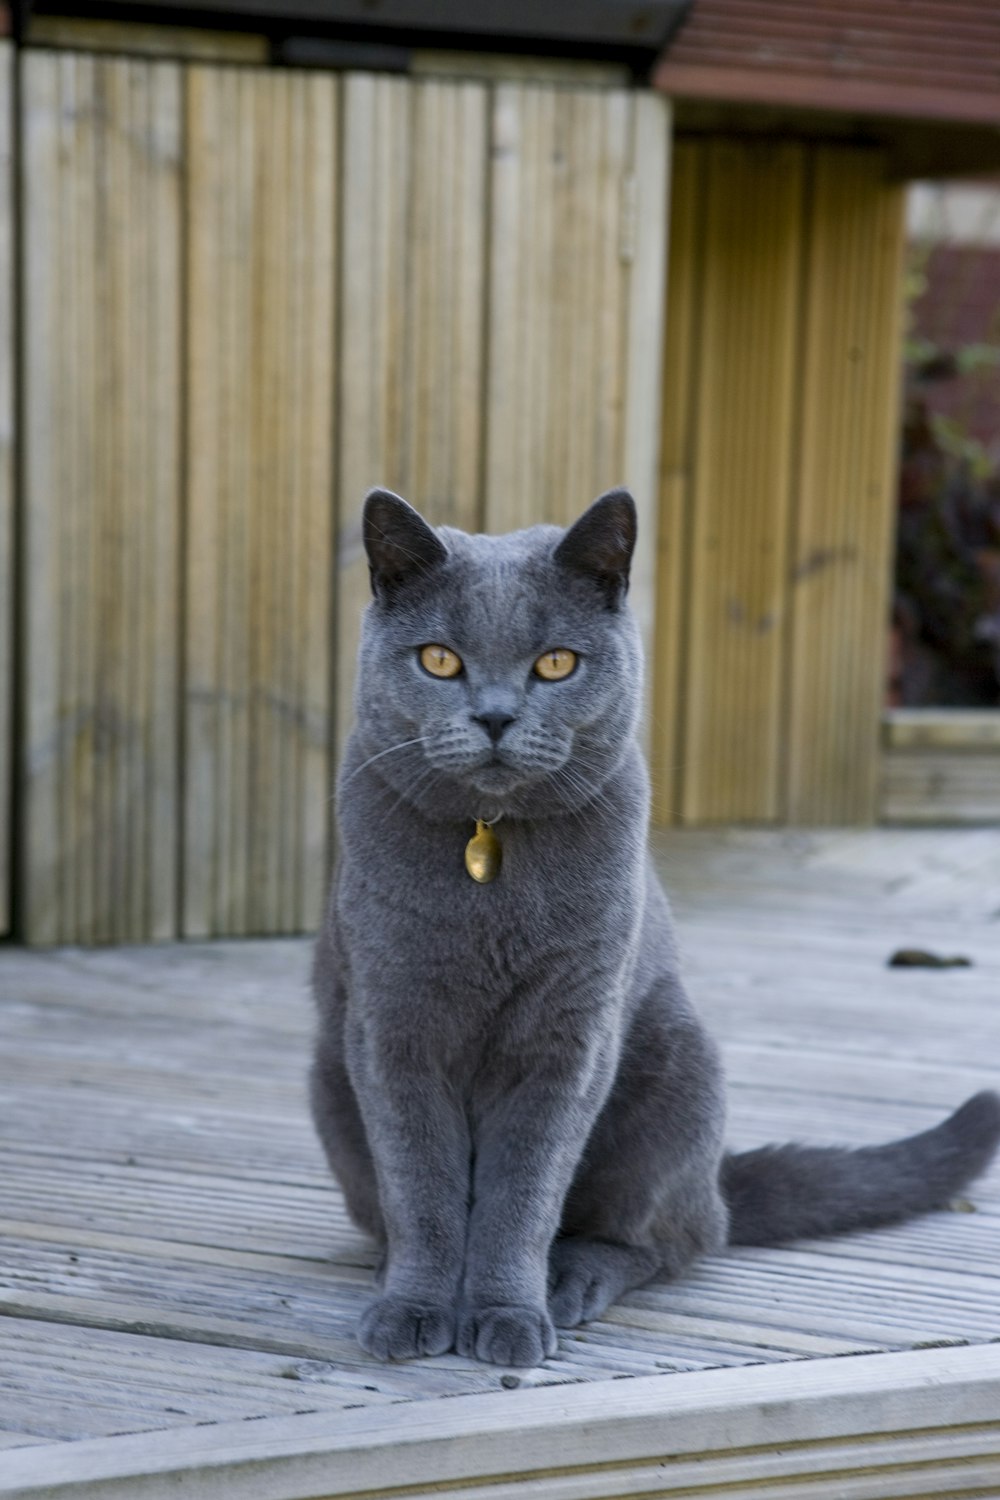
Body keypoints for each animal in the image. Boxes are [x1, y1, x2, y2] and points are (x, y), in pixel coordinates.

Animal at [313, 492, 1000, 1374]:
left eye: (555, 664)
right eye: (438, 660)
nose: (496, 715)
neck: (489, 850)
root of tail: (717, 1180)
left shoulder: (571, 1039)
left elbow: (521, 1193)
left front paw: (506, 1315)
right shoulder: (391, 1027)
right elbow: (422, 1185)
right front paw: (415, 1308)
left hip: (676, 1063)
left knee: (672, 1238)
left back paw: (570, 1282)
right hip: (330, 1082)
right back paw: (391, 1270)